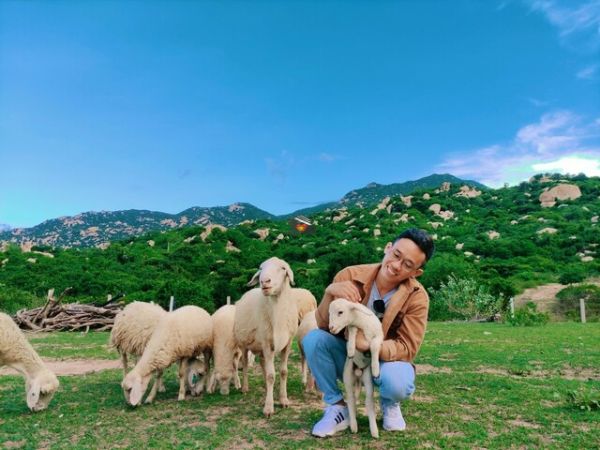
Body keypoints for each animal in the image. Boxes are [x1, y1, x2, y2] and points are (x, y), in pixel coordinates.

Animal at [234, 256, 300, 418]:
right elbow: (271, 375)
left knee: (263, 363)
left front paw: (283, 400)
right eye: (261, 268)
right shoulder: (267, 343)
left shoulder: (287, 343)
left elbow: (283, 372)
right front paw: (269, 407)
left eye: (283, 268)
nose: (264, 281)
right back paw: (245, 388)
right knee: (245, 364)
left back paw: (265, 386)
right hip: (244, 344)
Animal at [328, 298, 384, 440]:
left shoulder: (379, 336)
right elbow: (352, 331)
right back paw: (354, 426)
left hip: (368, 380)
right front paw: (351, 350)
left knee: (369, 402)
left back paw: (374, 430)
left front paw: (376, 369)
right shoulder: (353, 327)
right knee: (351, 401)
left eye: (340, 312)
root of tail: (358, 374)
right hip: (348, 378)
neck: (362, 323)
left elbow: (374, 346)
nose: (331, 328)